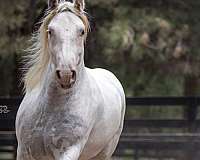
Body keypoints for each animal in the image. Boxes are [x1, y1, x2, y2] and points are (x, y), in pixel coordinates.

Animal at [15, 0, 126, 159]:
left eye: (81, 31)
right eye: (50, 31)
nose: (66, 74)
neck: (50, 108)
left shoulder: (68, 150)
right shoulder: (23, 150)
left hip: (104, 151)